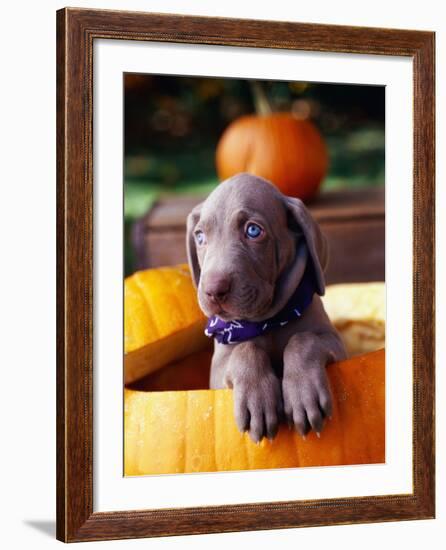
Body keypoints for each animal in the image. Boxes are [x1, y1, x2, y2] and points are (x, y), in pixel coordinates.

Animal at [186, 175, 346, 446]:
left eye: (253, 230)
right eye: (199, 237)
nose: (213, 291)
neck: (267, 321)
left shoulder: (337, 345)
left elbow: (303, 339)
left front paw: (303, 393)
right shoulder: (217, 373)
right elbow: (245, 349)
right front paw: (257, 400)